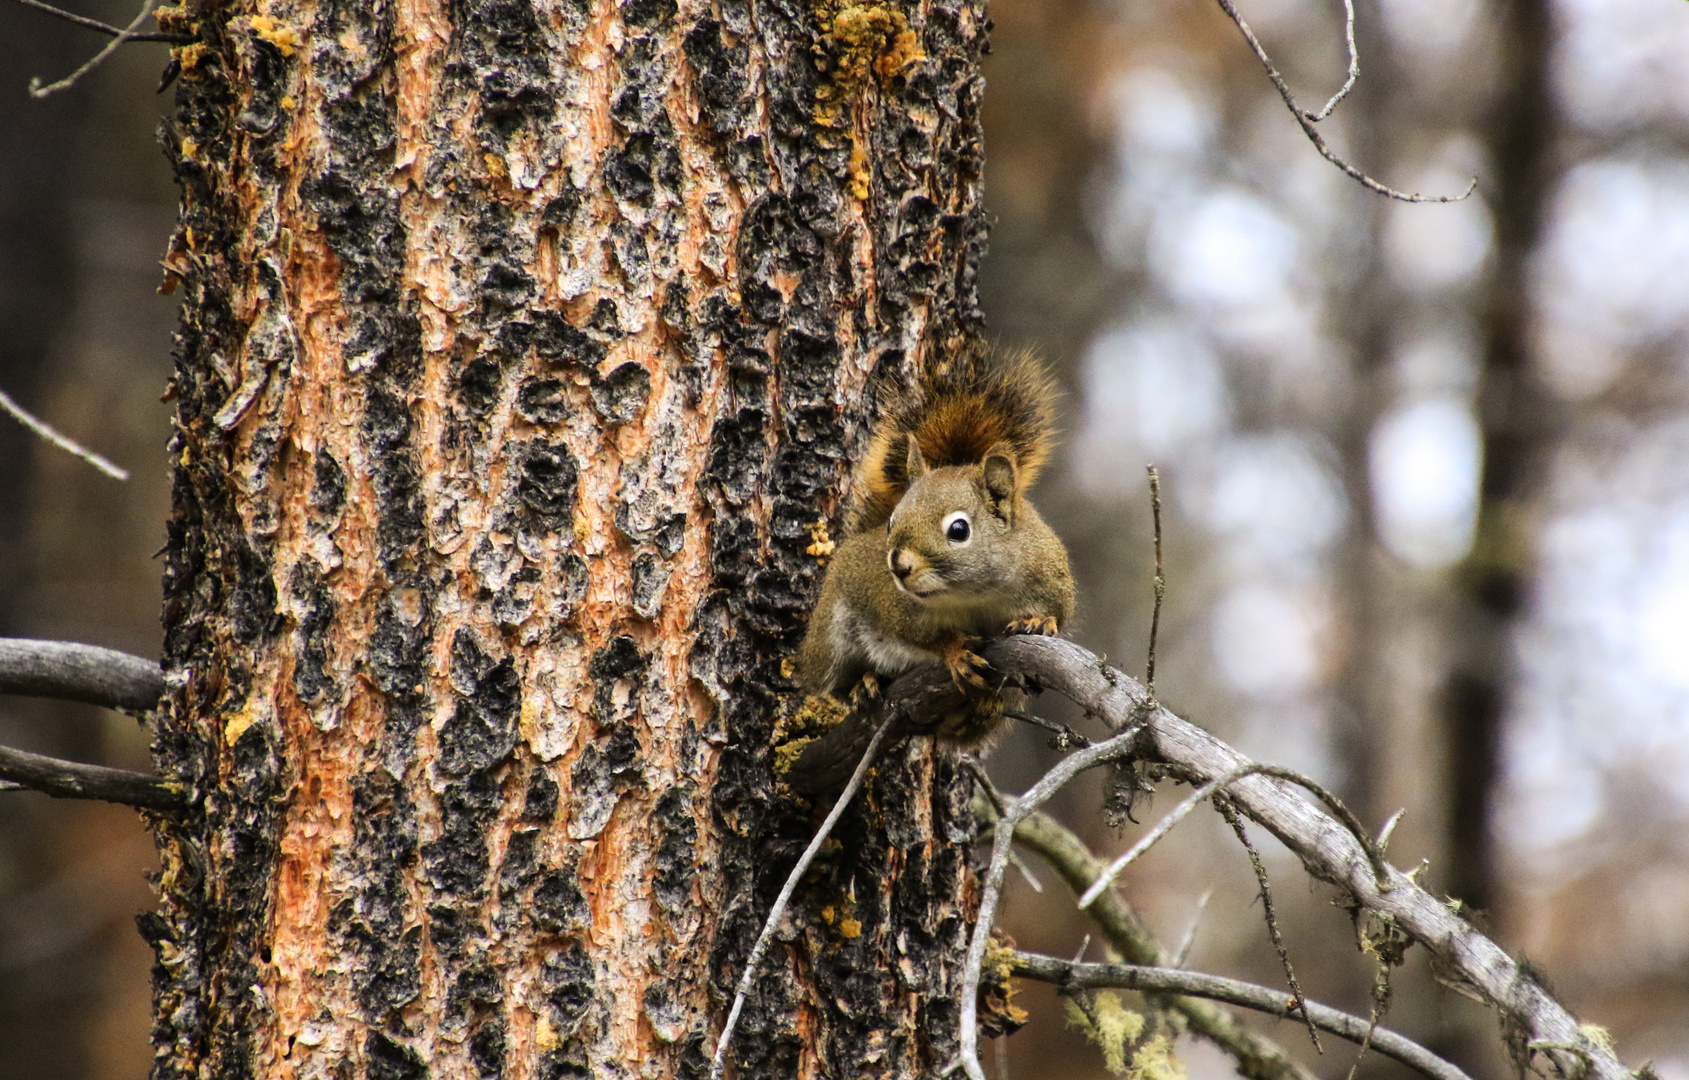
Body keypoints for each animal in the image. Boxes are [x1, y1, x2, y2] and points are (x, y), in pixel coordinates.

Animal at [797, 348, 1074, 743]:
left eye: (959, 530)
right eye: (891, 524)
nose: (898, 566)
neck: (974, 595)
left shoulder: (1049, 576)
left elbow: (1057, 615)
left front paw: (1039, 620)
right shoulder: (900, 611)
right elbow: (926, 638)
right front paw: (955, 651)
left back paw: (984, 705)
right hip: (831, 640)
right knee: (833, 682)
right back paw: (861, 684)